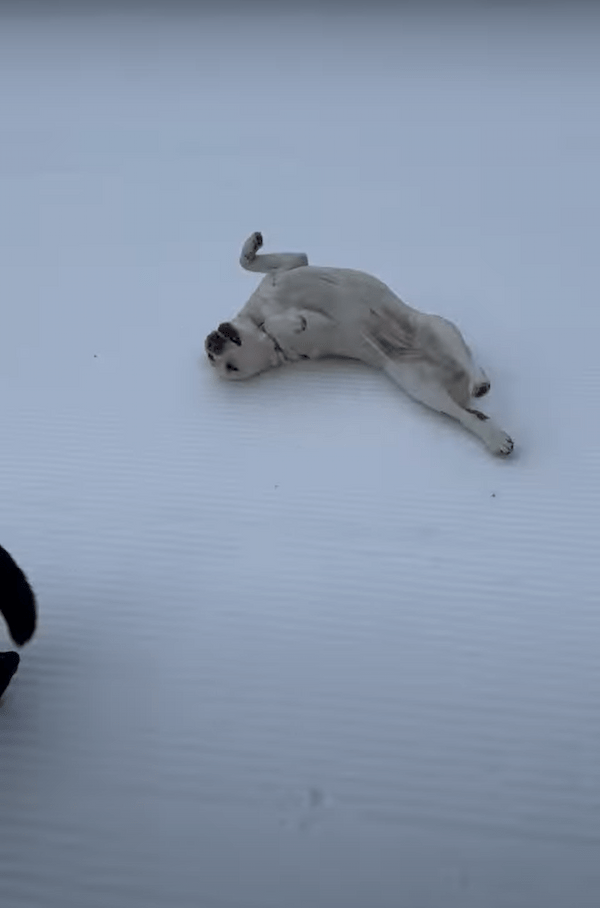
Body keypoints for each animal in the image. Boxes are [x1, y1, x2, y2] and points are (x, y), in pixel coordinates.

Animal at [206, 232, 516, 458]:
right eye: (229, 367)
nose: (210, 346)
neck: (259, 316)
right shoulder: (313, 335)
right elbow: (278, 327)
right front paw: (291, 322)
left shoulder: (289, 266)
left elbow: (248, 263)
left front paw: (252, 245)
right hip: (421, 387)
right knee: (467, 415)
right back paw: (495, 436)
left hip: (436, 325)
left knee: (467, 359)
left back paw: (479, 380)